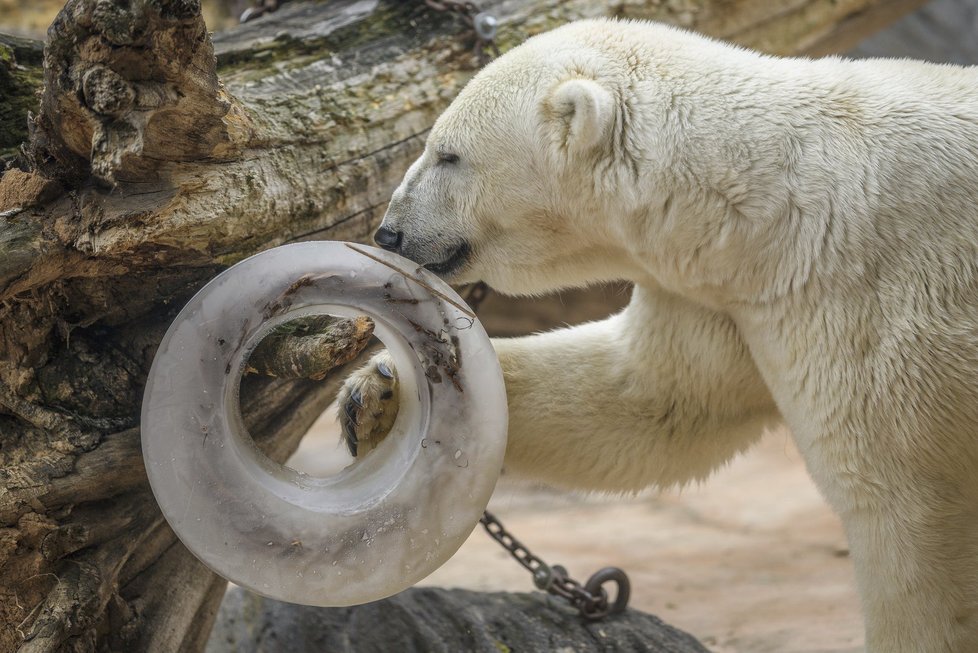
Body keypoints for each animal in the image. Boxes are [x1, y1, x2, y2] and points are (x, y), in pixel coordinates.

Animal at [336, 17, 976, 648]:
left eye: (449, 154)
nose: (389, 233)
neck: (771, 201)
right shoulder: (721, 295)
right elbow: (654, 397)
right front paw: (379, 394)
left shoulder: (873, 297)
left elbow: (906, 504)